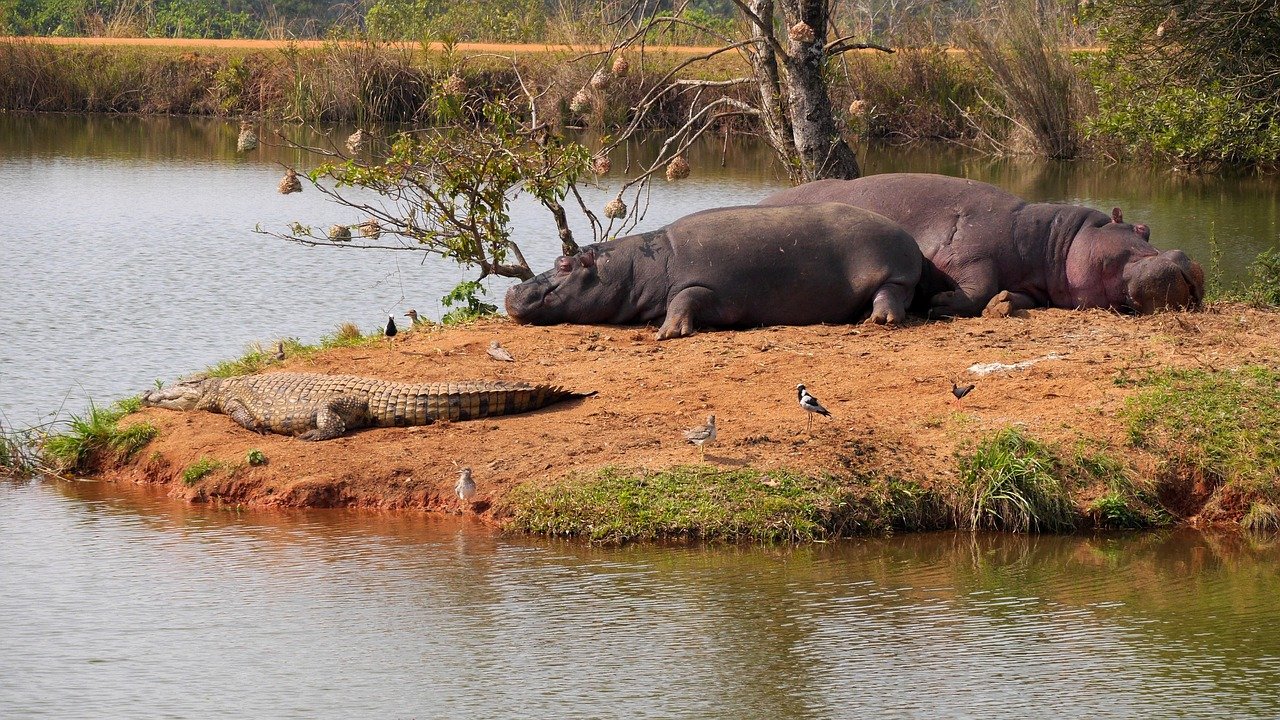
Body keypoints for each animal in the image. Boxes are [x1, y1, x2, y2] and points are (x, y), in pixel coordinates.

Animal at [499, 199, 921, 338]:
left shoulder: (710, 286)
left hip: (895, 272)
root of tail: (908, 236)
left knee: (891, 294)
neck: (635, 268)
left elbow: (686, 297)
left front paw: (667, 333)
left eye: (564, 264)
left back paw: (878, 320)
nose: (513, 290)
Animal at [757, 172, 1208, 315]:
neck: (1054, 241)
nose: (1184, 257)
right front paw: (940, 303)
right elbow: (976, 287)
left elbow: (1007, 294)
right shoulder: (971, 252)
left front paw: (1005, 303)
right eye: (1139, 229)